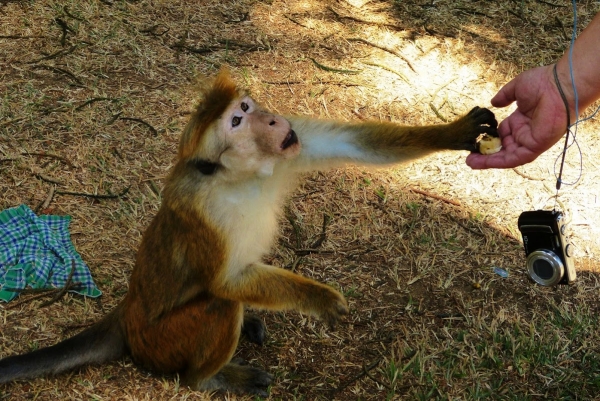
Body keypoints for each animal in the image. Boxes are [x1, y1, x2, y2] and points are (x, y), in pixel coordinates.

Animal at [0, 68, 496, 394]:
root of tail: (126, 315)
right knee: (220, 305)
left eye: (246, 107)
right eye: (237, 123)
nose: (273, 120)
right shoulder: (207, 216)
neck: (244, 176)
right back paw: (206, 378)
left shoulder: (294, 146)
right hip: (161, 342)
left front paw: (454, 131)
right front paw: (320, 298)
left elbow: (357, 144)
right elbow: (226, 281)